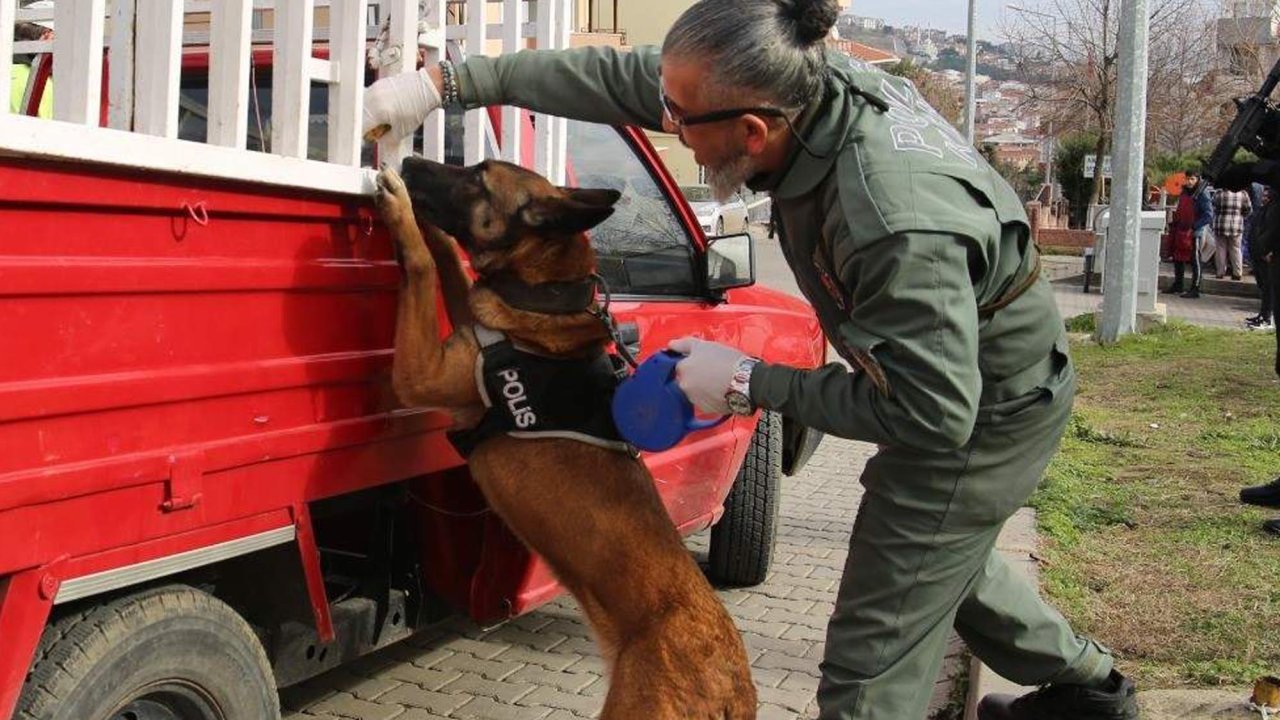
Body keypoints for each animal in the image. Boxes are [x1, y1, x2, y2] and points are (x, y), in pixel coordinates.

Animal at [371, 158, 752, 717]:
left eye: (479, 177)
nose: (414, 161)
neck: (543, 299)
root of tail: (733, 685)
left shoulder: (420, 375)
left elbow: (419, 269)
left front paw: (403, 214)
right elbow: (454, 275)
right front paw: (435, 233)